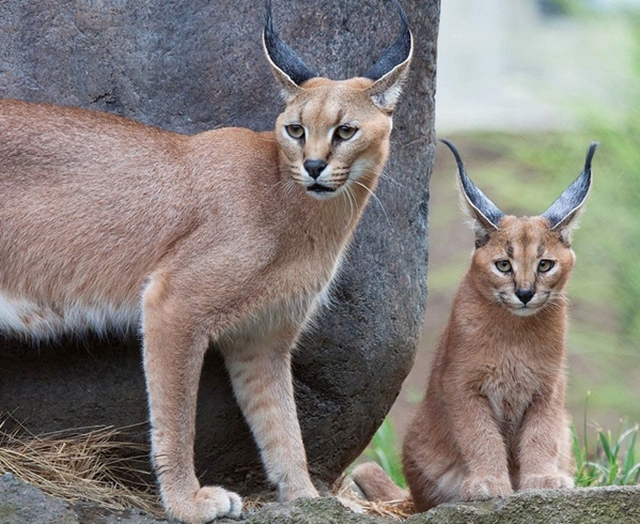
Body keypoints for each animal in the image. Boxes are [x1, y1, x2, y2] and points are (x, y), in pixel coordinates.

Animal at [0, 2, 412, 520]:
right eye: (295, 129)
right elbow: (177, 416)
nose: (314, 166)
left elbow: (283, 426)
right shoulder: (173, 302)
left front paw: (307, 498)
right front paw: (186, 502)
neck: (306, 209)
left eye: (345, 131)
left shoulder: (263, 337)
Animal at [352, 139, 596, 512]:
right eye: (503, 265)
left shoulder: (548, 388)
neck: (515, 333)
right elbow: (481, 436)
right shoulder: (463, 385)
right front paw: (490, 482)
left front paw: (541, 480)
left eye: (545, 264)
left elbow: (540, 435)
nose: (525, 293)